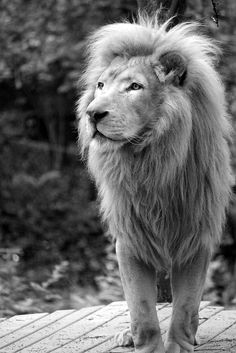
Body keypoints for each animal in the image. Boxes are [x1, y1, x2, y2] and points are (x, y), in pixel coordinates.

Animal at [77, 14, 232, 352]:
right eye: (100, 85)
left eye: (135, 86)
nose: (93, 113)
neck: (149, 161)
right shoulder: (130, 239)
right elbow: (142, 311)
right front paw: (145, 343)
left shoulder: (195, 238)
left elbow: (185, 305)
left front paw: (179, 345)